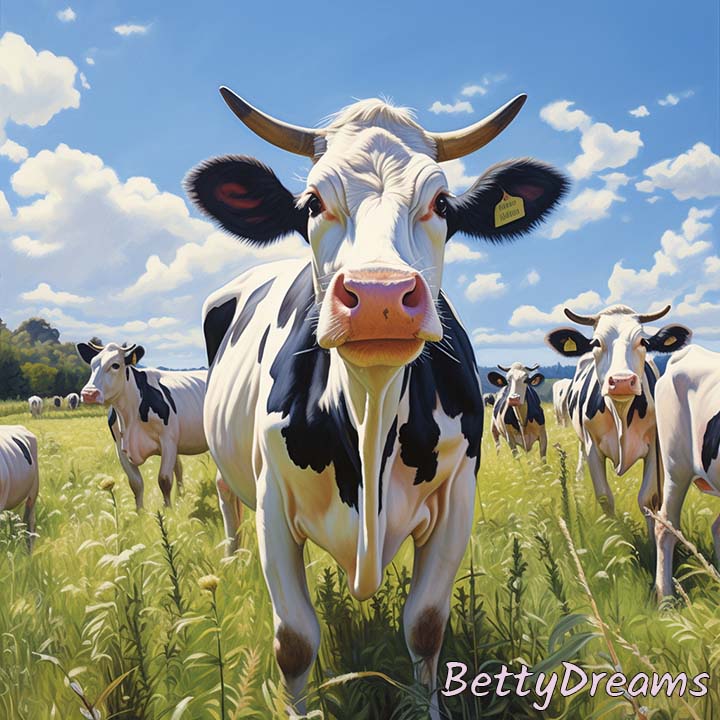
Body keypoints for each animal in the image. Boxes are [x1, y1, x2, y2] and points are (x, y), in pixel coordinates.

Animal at [76, 342, 224, 516]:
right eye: (92, 364)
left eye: (115, 365)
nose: (89, 394)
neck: (129, 417)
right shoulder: (120, 447)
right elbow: (136, 483)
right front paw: (140, 513)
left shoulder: (168, 441)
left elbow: (164, 479)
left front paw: (168, 511)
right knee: (179, 468)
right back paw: (180, 498)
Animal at [185, 87, 567, 717]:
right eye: (313, 202)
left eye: (441, 202)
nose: (380, 296)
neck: (371, 412)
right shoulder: (271, 499)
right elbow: (294, 640)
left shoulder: (459, 494)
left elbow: (426, 626)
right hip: (231, 469)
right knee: (225, 498)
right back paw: (230, 556)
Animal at [546, 304, 691, 540]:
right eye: (596, 342)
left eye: (643, 342)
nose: (622, 381)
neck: (621, 413)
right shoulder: (592, 447)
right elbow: (605, 497)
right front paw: (618, 540)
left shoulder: (655, 449)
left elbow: (648, 498)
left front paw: (653, 542)